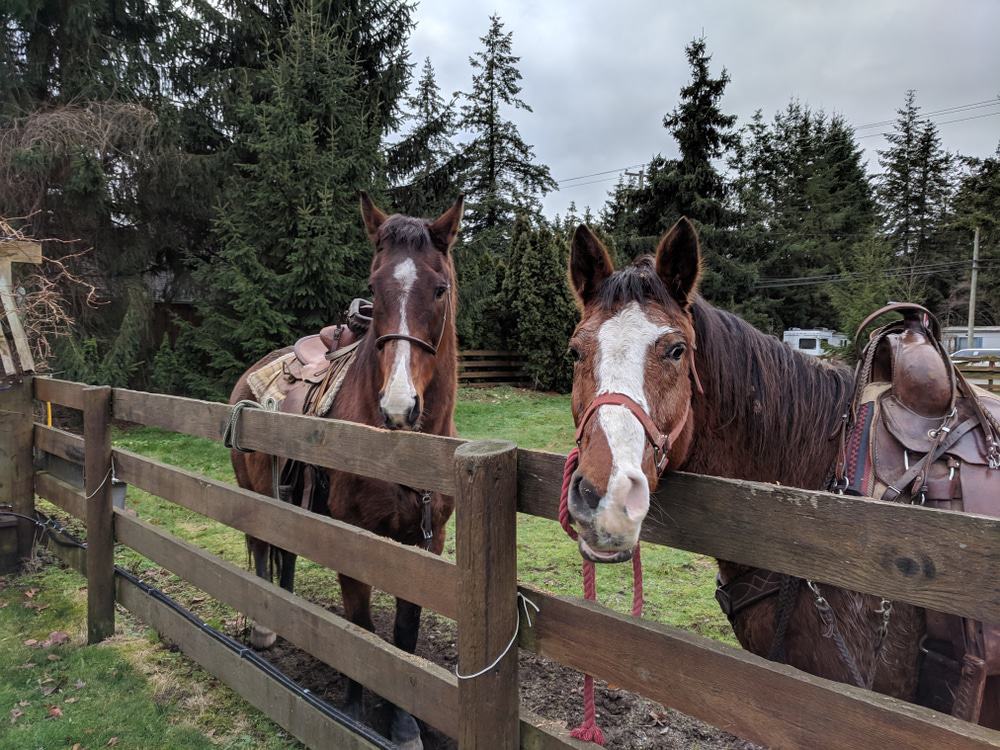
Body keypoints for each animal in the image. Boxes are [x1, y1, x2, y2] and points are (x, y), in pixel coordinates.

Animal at [228, 194, 464, 750]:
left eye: (439, 289)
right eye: (374, 289)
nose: (399, 407)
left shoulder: (426, 542)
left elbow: (403, 634)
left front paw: (404, 724)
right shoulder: (354, 537)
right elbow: (360, 627)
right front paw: (356, 710)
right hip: (253, 493)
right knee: (260, 546)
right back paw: (264, 628)